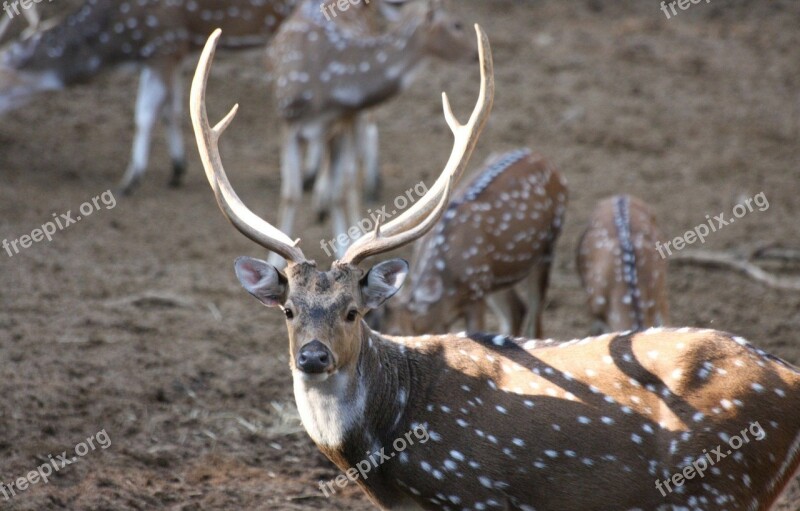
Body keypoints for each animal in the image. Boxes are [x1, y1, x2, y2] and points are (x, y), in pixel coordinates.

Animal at [266, 0, 478, 262]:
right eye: (456, 24)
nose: (476, 53)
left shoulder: (344, 119)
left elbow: (342, 189)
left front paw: (344, 248)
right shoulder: (287, 119)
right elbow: (290, 194)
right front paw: (275, 258)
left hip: (352, 120)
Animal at [376, 148, 568, 340]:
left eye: (397, 332)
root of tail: (540, 156)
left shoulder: (476, 294)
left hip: (547, 248)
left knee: (535, 320)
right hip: (497, 276)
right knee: (516, 310)